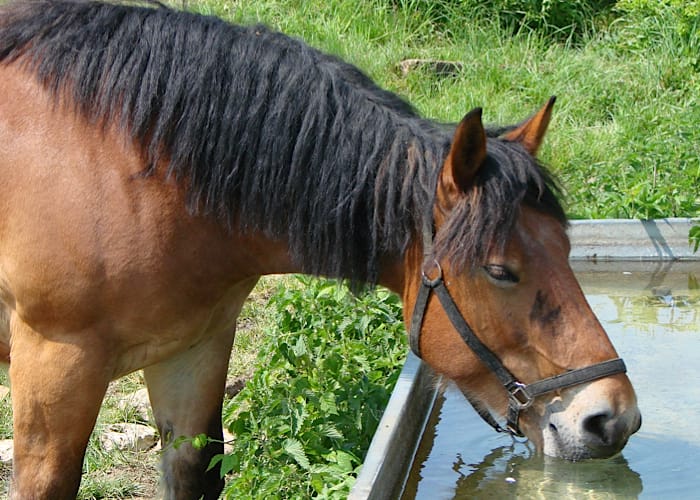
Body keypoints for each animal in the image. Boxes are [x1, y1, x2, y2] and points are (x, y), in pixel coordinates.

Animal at [0, 1, 640, 498]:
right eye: (500, 270)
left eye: (567, 246)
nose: (612, 418)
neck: (130, 165)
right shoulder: (56, 362)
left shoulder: (192, 349)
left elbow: (193, 473)